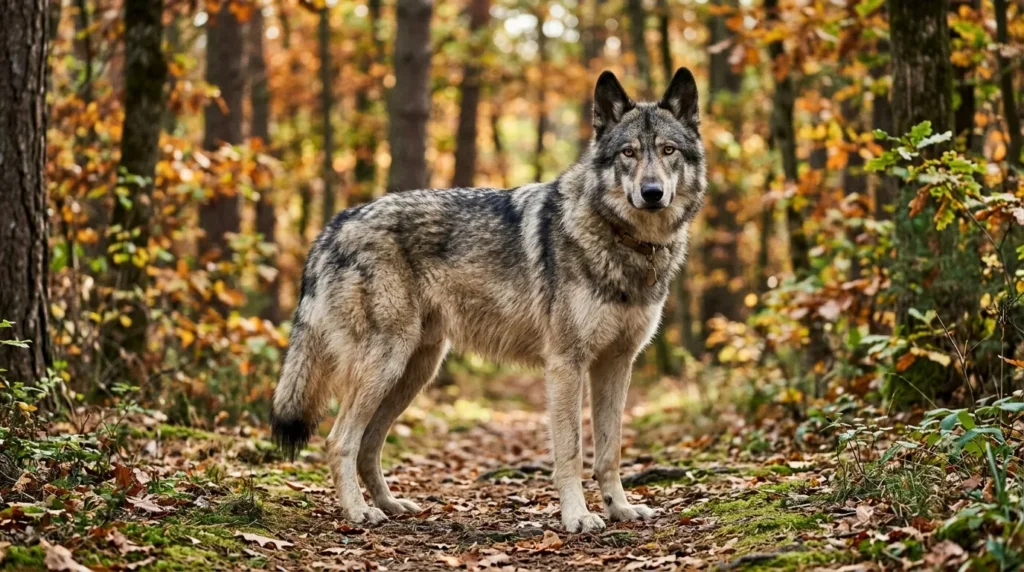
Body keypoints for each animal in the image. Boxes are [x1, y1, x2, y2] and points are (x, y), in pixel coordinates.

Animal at [271, 68, 706, 533]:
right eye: (628, 153)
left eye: (668, 150)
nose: (652, 192)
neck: (625, 242)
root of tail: (335, 224)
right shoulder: (566, 364)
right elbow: (570, 451)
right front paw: (577, 516)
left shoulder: (617, 363)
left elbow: (610, 451)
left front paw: (620, 508)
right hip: (386, 363)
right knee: (339, 442)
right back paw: (358, 513)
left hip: (414, 371)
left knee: (369, 445)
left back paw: (390, 505)